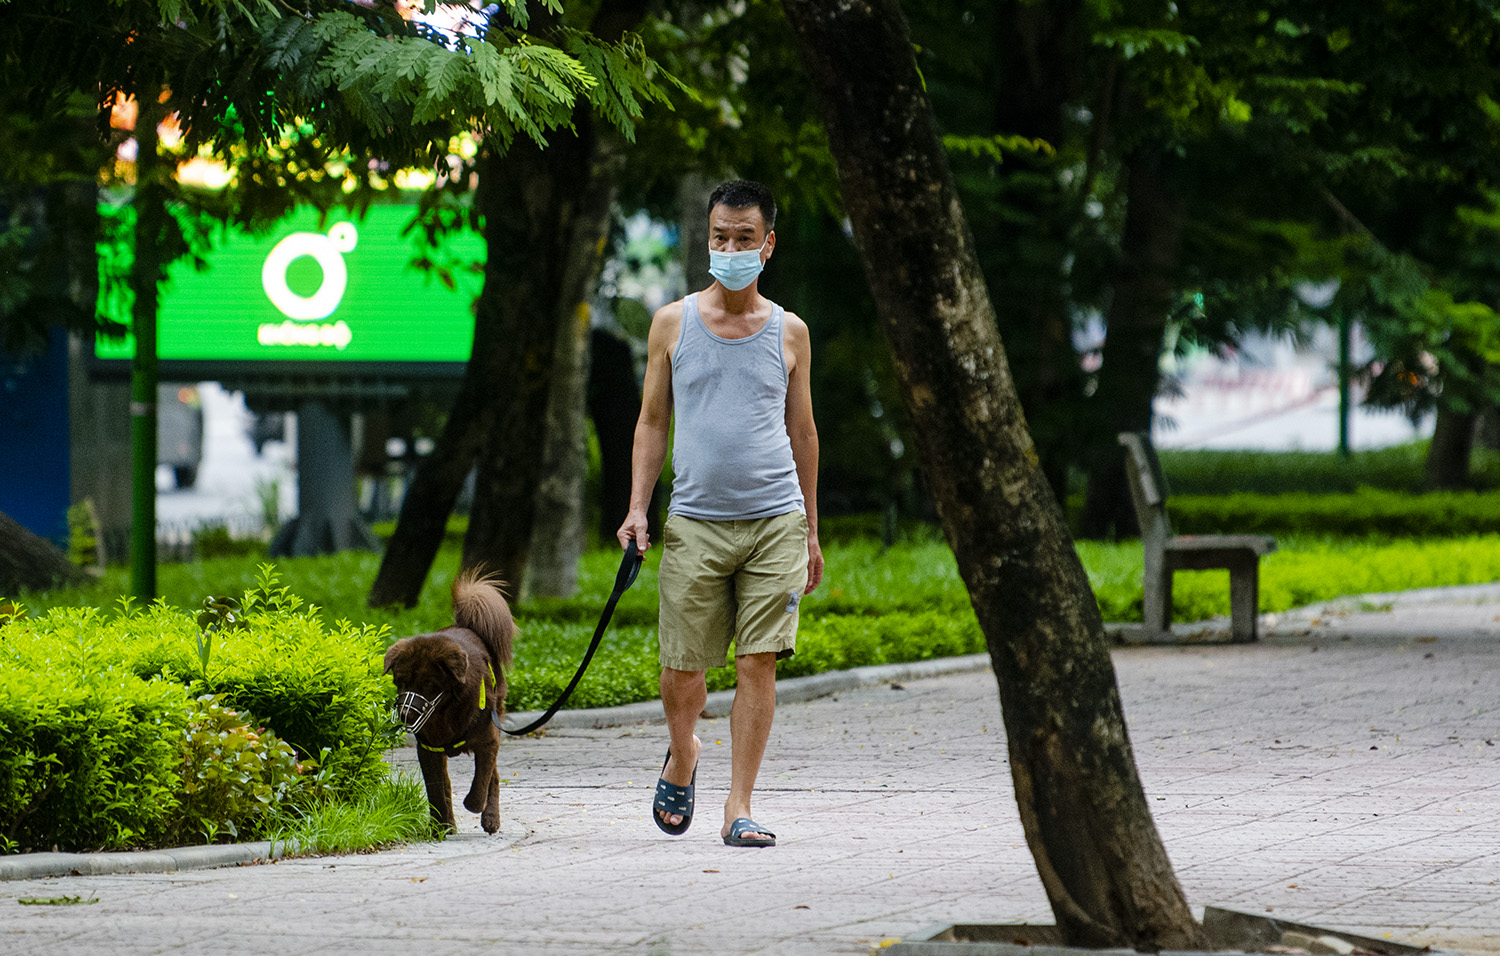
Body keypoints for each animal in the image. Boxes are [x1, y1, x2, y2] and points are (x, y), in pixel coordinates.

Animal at [384, 567, 519, 828]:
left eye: (428, 683)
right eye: (400, 682)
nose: (405, 714)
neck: (447, 713)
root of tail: (468, 627)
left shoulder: (488, 741)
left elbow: (482, 781)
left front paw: (474, 805)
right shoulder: (428, 751)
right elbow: (437, 790)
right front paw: (442, 826)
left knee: (494, 777)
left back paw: (491, 819)